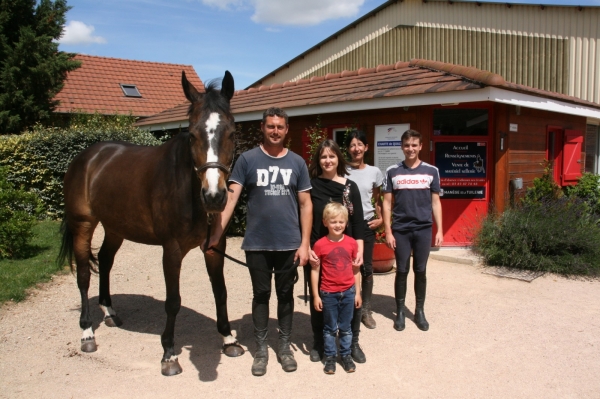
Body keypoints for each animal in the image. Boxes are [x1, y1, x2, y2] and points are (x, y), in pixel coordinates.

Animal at [56, 70, 244, 376]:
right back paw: (87, 333)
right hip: (82, 225)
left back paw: (110, 312)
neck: (187, 189)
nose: (214, 197)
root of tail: (87, 157)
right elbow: (173, 302)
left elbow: (221, 292)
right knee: (84, 274)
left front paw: (228, 339)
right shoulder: (172, 250)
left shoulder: (215, 247)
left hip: (115, 228)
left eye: (231, 132)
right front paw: (169, 354)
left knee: (105, 261)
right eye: (192, 134)